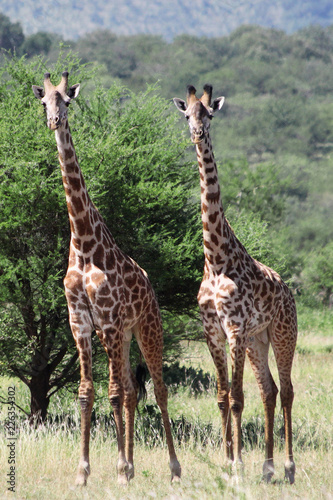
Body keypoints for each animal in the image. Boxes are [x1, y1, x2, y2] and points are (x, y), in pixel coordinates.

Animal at [32, 72, 180, 486]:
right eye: (44, 102)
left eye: (67, 101)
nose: (54, 121)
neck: (83, 243)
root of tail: (150, 286)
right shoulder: (81, 320)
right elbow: (87, 392)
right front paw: (84, 473)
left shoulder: (110, 320)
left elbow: (112, 393)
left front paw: (118, 470)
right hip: (123, 335)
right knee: (131, 389)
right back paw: (132, 464)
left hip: (146, 328)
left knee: (157, 389)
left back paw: (173, 469)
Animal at [174, 84, 296, 482]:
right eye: (187, 115)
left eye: (209, 114)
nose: (198, 134)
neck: (215, 259)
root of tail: (288, 290)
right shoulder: (212, 331)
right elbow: (222, 396)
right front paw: (227, 460)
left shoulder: (235, 329)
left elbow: (238, 397)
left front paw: (238, 463)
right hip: (259, 340)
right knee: (269, 390)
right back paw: (268, 467)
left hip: (282, 333)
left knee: (286, 390)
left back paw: (287, 466)